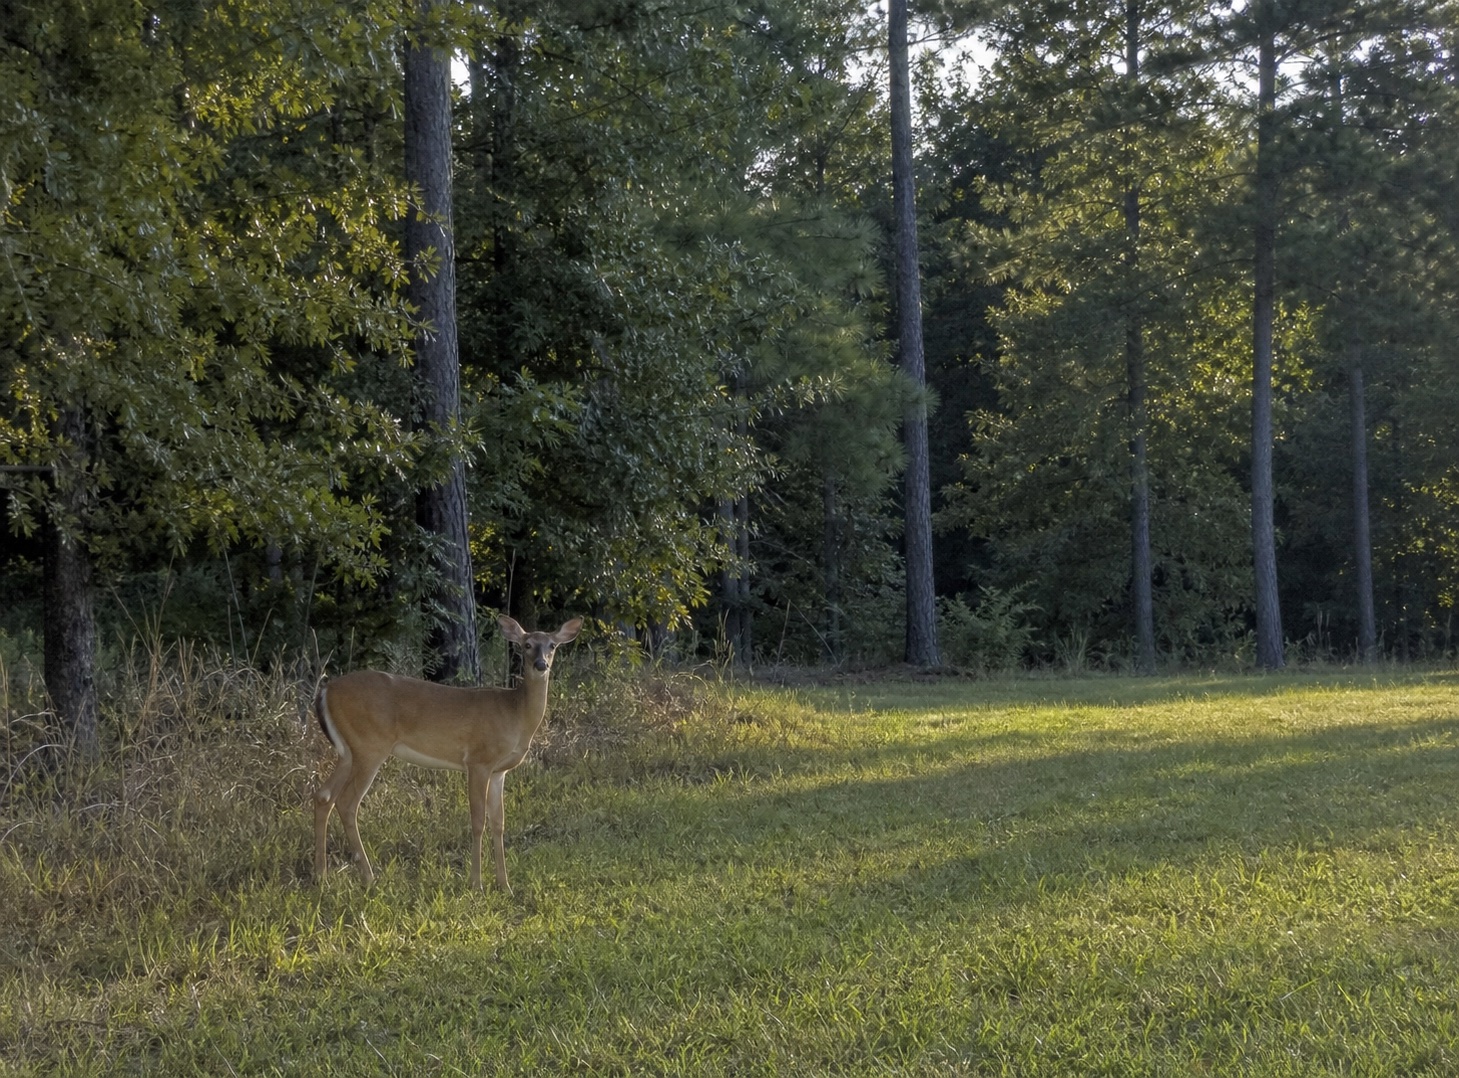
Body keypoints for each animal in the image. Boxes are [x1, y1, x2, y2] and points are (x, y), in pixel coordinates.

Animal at [312, 615, 583, 892]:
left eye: (552, 645)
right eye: (527, 645)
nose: (541, 664)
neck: (515, 713)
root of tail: (326, 690)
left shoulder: (499, 771)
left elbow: (499, 823)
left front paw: (504, 885)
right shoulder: (479, 760)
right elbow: (478, 821)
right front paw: (477, 884)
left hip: (348, 751)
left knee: (323, 796)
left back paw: (322, 876)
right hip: (370, 745)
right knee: (346, 802)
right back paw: (368, 877)